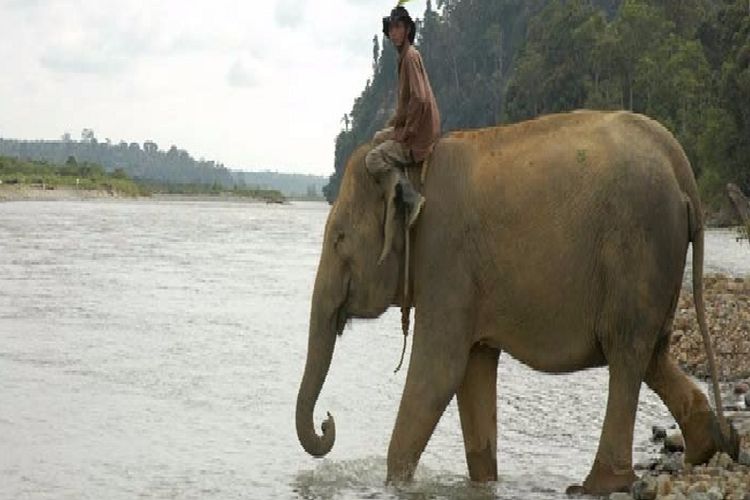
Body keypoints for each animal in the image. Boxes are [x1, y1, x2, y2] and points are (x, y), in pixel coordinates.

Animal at [294, 110, 740, 496]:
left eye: (339, 239)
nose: (328, 421)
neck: (415, 169)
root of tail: (679, 163)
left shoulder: (445, 260)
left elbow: (439, 370)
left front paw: (396, 485)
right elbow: (472, 370)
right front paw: (483, 484)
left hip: (636, 249)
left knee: (626, 353)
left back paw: (597, 485)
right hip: (656, 263)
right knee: (653, 353)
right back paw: (715, 444)